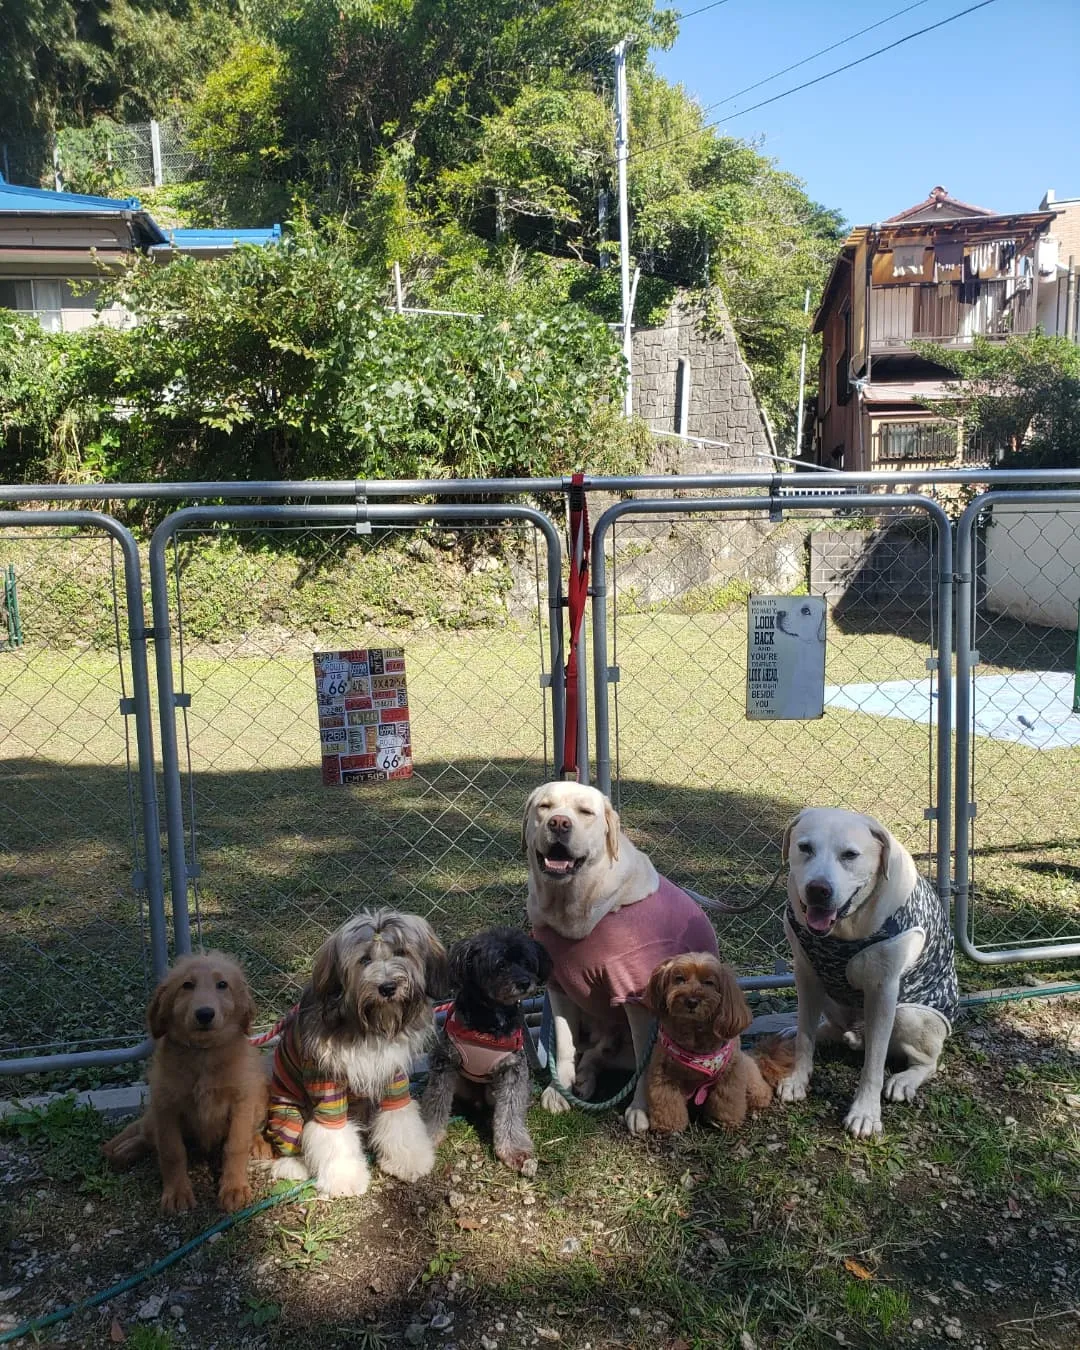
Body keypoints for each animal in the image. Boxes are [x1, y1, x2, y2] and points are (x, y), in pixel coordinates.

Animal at [102, 950, 270, 1215]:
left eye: (222, 985)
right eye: (187, 985)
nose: (205, 1014)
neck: (203, 1054)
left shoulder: (241, 1102)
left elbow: (235, 1145)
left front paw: (233, 1188)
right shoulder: (165, 1105)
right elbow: (171, 1151)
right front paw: (177, 1192)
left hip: (260, 1100)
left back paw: (259, 1143)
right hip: (153, 1115)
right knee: (147, 1135)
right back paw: (124, 1151)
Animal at [272, 912, 448, 1198]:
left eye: (401, 952)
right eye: (364, 959)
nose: (387, 987)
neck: (369, 1027)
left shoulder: (393, 1077)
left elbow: (400, 1119)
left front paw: (409, 1160)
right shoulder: (327, 1085)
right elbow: (333, 1135)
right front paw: (344, 1179)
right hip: (287, 1112)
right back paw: (293, 1165)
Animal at [418, 928, 548, 1171]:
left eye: (526, 963)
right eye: (500, 964)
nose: (525, 982)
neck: (490, 1019)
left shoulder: (513, 1070)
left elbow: (511, 1112)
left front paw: (514, 1150)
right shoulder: (445, 1062)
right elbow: (435, 1102)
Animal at [645, 955, 788, 1134]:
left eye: (709, 982)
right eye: (679, 979)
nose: (691, 1001)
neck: (695, 1033)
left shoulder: (730, 1076)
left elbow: (727, 1099)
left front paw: (725, 1121)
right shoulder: (664, 1074)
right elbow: (667, 1100)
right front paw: (668, 1126)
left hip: (750, 1080)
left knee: (760, 1092)